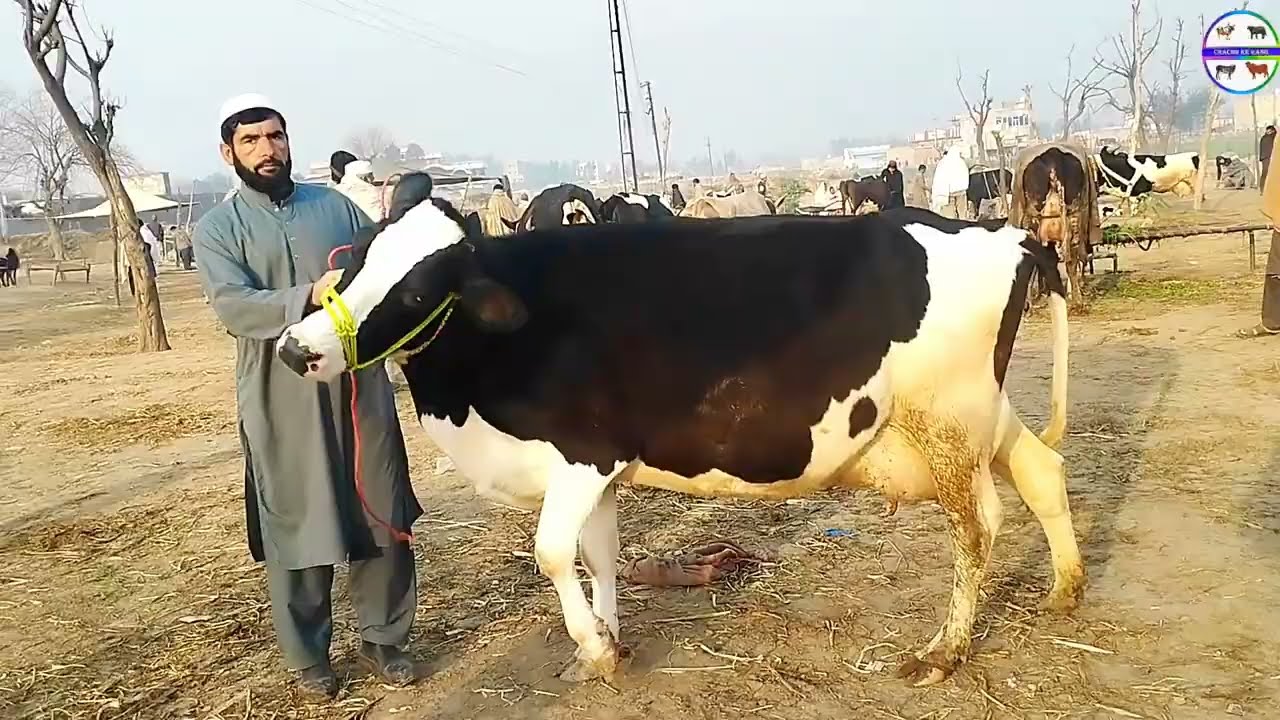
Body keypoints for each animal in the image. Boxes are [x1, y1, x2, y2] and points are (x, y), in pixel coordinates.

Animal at [276, 177, 1082, 688]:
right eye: (357, 259)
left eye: (417, 290)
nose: (296, 347)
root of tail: (1004, 234)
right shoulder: (595, 471)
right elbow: (597, 555)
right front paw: (605, 644)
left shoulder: (586, 453)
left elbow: (551, 553)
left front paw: (594, 648)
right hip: (980, 417)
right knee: (1041, 470)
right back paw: (1064, 590)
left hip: (947, 423)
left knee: (978, 527)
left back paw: (943, 653)